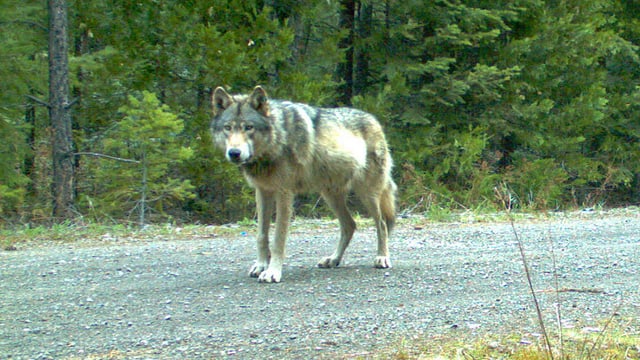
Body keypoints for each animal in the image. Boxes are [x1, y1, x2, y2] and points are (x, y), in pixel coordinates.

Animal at [210, 86, 396, 282]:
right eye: (228, 128)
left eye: (248, 127)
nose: (234, 153)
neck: (277, 139)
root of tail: (374, 119)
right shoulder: (262, 192)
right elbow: (261, 235)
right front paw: (261, 266)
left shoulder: (284, 193)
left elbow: (278, 238)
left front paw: (272, 272)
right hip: (330, 195)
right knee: (350, 225)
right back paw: (333, 259)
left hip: (367, 194)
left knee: (382, 224)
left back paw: (382, 257)